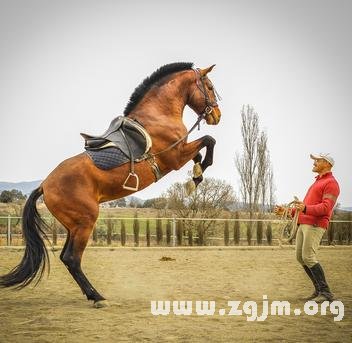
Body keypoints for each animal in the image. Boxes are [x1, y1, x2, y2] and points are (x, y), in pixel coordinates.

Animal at [0, 62, 220, 310]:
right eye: (209, 87)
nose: (217, 116)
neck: (158, 115)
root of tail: (45, 185)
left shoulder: (181, 152)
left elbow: (201, 151)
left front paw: (197, 173)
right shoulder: (175, 156)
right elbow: (208, 141)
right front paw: (197, 178)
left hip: (73, 225)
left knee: (67, 257)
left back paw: (91, 294)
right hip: (86, 220)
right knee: (72, 258)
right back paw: (96, 296)